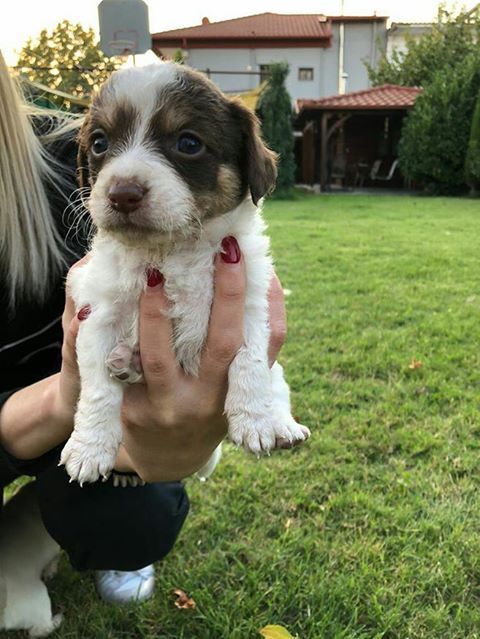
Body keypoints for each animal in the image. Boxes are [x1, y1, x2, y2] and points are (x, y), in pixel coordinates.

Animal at [60, 62, 310, 485]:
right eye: (99, 143)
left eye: (189, 143)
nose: (122, 194)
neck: (174, 250)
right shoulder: (98, 315)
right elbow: (96, 391)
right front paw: (89, 448)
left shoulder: (250, 305)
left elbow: (250, 361)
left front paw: (255, 421)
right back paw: (128, 362)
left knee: (277, 386)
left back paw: (282, 424)